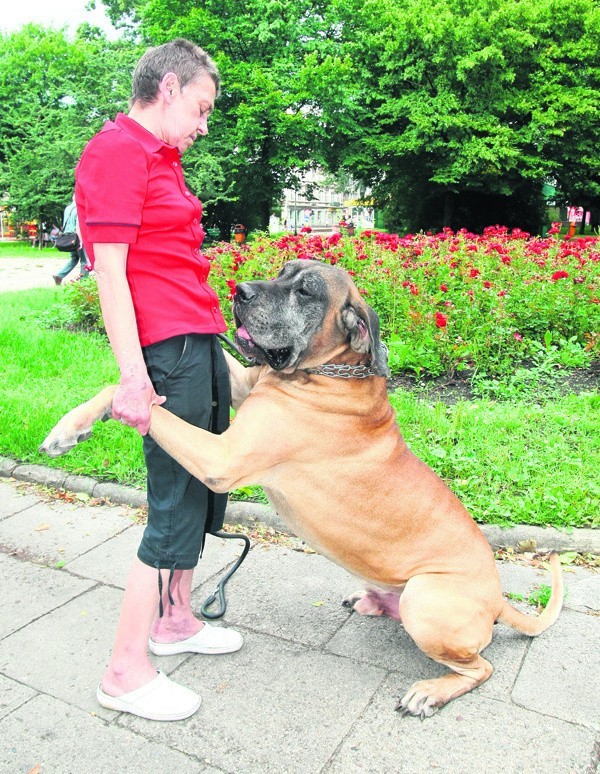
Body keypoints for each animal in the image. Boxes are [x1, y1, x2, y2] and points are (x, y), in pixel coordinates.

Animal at [38, 260, 564, 720]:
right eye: (281, 271)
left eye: (306, 292)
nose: (239, 291)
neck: (329, 371)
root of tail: (498, 602)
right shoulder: (241, 382)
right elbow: (139, 388)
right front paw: (73, 425)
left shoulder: (221, 458)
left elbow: (138, 402)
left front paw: (77, 425)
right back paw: (372, 602)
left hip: (426, 599)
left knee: (481, 667)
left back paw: (430, 692)